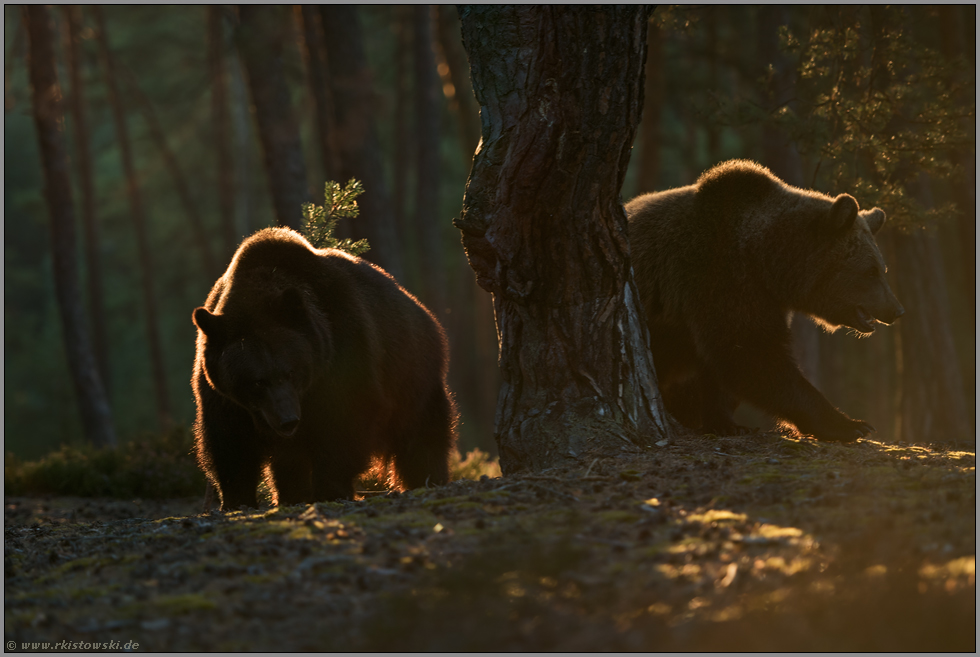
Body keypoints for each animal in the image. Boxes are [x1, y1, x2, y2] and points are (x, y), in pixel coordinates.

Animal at [191, 227, 457, 509]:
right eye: (256, 381)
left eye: (290, 372)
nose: (288, 420)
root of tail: (422, 309)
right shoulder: (224, 394)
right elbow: (230, 443)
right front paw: (236, 499)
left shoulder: (342, 351)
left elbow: (345, 421)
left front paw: (329, 489)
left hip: (411, 375)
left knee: (422, 435)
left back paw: (428, 478)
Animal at [626, 159, 904, 442]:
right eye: (871, 271)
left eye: (883, 269)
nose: (897, 310)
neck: (766, 261)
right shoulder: (722, 280)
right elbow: (753, 355)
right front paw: (849, 424)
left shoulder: (760, 300)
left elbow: (721, 368)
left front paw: (726, 422)